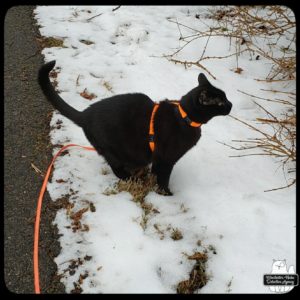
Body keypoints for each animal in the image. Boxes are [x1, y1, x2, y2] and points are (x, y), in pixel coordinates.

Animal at [38, 60, 232, 196]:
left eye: (226, 97)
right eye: (220, 102)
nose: (231, 104)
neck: (184, 117)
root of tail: (85, 114)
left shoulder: (159, 159)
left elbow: (157, 173)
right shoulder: (166, 159)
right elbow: (163, 178)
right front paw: (166, 195)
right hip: (113, 150)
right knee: (116, 168)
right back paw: (131, 178)